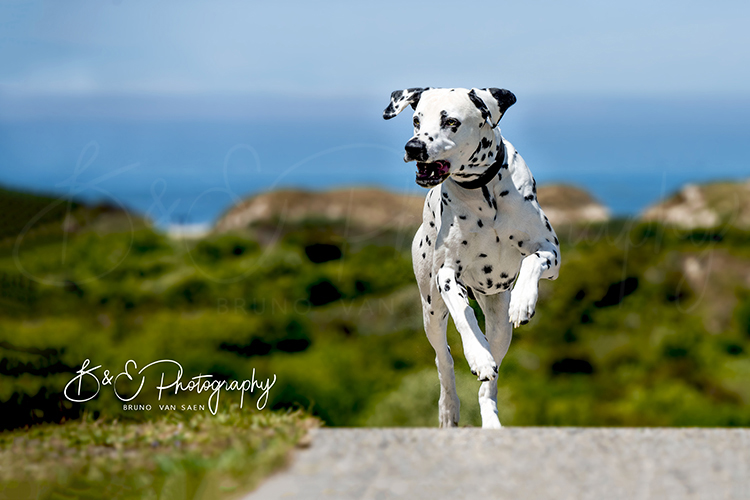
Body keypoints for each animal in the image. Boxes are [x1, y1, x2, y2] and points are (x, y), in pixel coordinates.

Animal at [384, 88, 560, 428]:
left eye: (451, 121)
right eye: (416, 120)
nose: (414, 147)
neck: (483, 191)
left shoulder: (552, 251)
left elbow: (532, 261)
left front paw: (523, 302)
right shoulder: (446, 275)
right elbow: (464, 315)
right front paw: (477, 354)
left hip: (500, 325)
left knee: (490, 382)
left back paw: (490, 417)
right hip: (431, 312)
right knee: (444, 360)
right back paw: (449, 409)